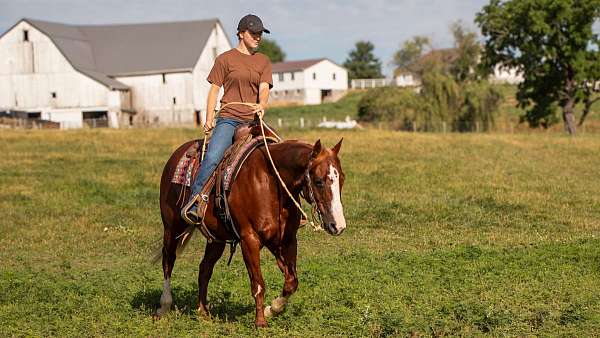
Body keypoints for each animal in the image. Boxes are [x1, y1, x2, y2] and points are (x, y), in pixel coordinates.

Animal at [154, 135, 346, 328]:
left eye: (342, 179)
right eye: (319, 181)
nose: (338, 226)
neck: (270, 183)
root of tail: (178, 153)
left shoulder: (286, 240)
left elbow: (292, 282)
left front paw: (272, 309)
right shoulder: (250, 240)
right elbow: (258, 283)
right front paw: (260, 322)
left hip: (216, 239)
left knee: (204, 269)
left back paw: (203, 313)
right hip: (172, 227)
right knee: (168, 260)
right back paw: (163, 306)